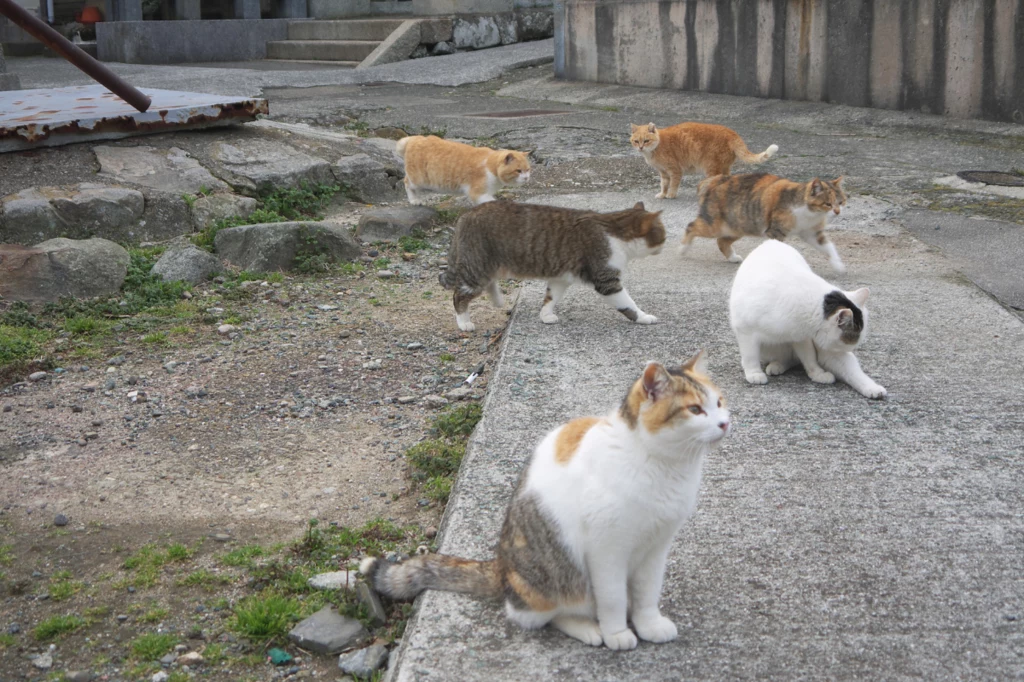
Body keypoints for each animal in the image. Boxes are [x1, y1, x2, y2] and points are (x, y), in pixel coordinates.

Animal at [395, 133, 532, 204]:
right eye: (518, 171)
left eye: (528, 170)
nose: (526, 178)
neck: (490, 166)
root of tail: (415, 138)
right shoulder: (477, 193)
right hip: (419, 179)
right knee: (407, 182)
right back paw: (414, 200)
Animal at [438, 197, 663, 329]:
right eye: (662, 235)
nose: (664, 245)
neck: (613, 230)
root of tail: (466, 214)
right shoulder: (606, 280)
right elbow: (628, 303)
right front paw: (643, 317)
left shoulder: (561, 279)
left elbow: (551, 298)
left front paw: (545, 315)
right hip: (476, 271)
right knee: (459, 296)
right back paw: (464, 322)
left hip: (488, 266)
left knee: (488, 283)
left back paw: (497, 300)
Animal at [626, 120, 778, 199]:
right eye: (636, 141)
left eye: (646, 141)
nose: (640, 148)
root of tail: (731, 132)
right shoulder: (663, 173)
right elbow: (664, 184)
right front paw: (663, 194)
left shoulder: (675, 170)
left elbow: (673, 184)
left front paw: (671, 194)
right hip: (723, 166)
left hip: (711, 167)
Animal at [679, 171, 847, 272]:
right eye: (828, 204)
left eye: (841, 202)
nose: (837, 211)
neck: (809, 214)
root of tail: (716, 179)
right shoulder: (776, 231)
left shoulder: (811, 233)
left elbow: (829, 247)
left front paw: (838, 264)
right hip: (714, 225)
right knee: (691, 227)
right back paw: (683, 249)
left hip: (739, 225)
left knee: (721, 241)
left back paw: (732, 257)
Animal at [729, 238, 888, 399]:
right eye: (852, 342)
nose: (853, 349)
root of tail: (771, 241)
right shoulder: (745, 329)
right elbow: (750, 355)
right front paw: (754, 373)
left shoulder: (801, 337)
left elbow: (809, 357)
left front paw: (817, 373)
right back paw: (776, 365)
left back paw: (873, 388)